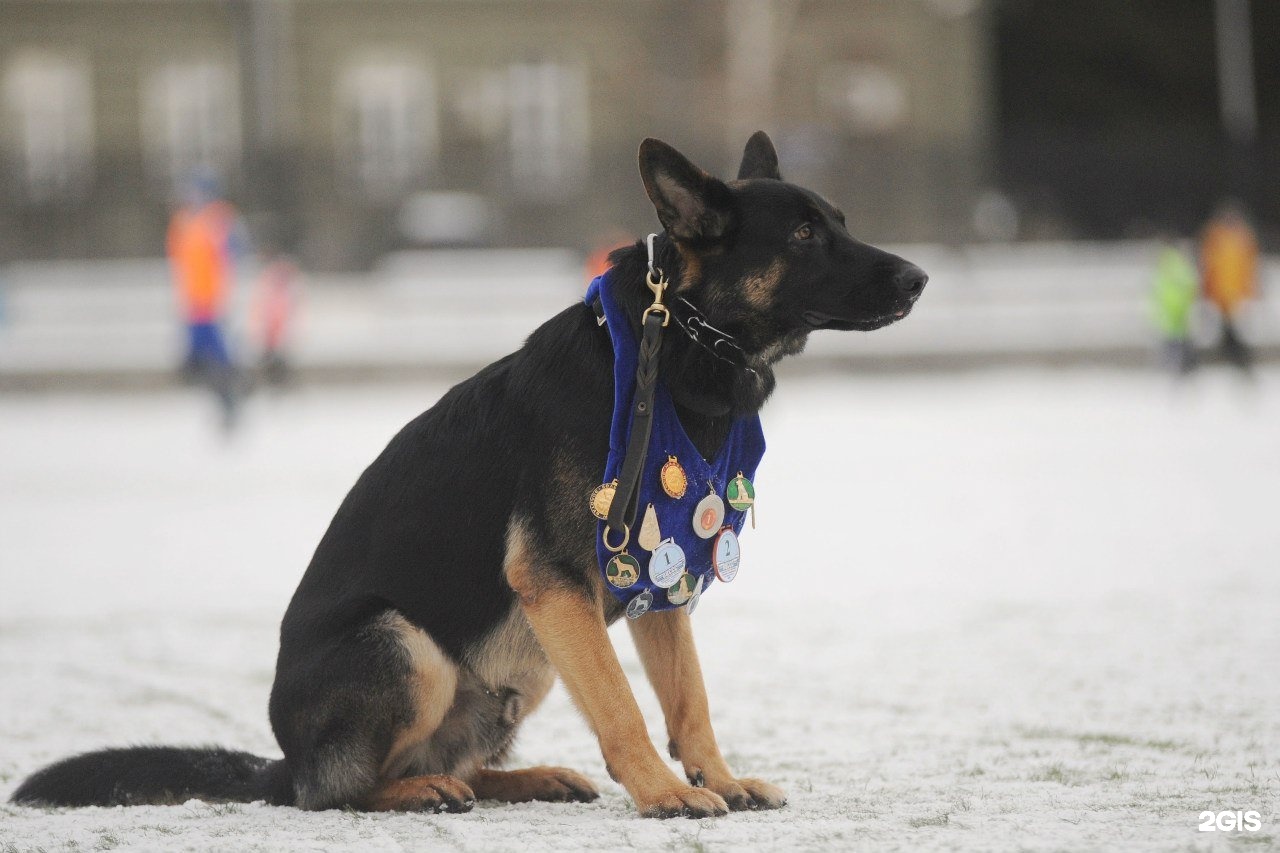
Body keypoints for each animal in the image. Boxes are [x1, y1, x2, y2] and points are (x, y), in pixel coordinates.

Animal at [15, 133, 926, 819]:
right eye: (804, 235)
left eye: (838, 221)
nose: (918, 277)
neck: (676, 347)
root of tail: (284, 759)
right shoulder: (558, 581)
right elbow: (626, 706)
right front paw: (665, 793)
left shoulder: (655, 587)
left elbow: (688, 700)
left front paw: (720, 778)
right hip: (410, 645)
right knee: (337, 791)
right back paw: (416, 789)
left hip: (523, 663)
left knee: (452, 763)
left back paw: (519, 778)